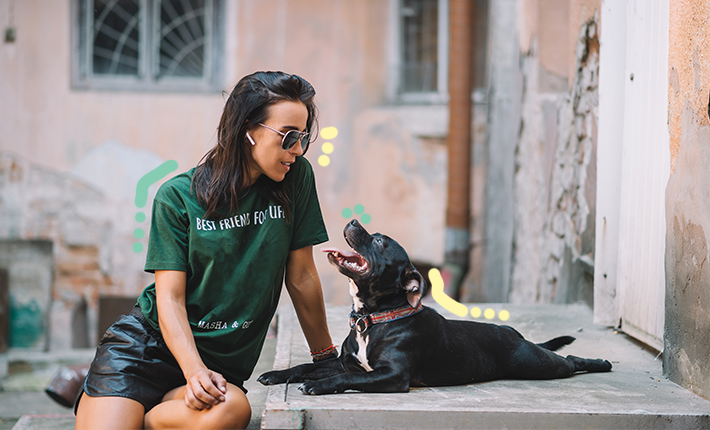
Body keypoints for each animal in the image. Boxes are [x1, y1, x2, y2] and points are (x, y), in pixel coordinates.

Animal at [258, 220, 616, 394]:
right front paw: (278, 374)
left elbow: (340, 379)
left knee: (570, 360)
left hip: (538, 364)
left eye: (379, 242)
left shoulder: (391, 376)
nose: (355, 219)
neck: (375, 318)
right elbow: (305, 366)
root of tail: (511, 331)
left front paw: (319, 386)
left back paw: (601, 362)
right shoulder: (348, 364)